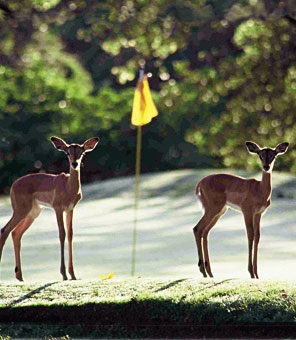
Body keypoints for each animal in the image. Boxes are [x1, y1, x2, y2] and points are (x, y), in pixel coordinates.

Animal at [0, 135, 100, 282]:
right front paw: (64, 274)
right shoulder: (58, 209)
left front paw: (73, 275)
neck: (68, 188)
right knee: (4, 230)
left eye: (82, 153)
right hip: (20, 211)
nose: (74, 164)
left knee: (15, 233)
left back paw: (20, 277)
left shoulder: (70, 209)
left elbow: (70, 234)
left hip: (32, 213)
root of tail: (13, 185)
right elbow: (62, 234)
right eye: (67, 152)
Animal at [193, 141, 288, 278]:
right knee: (197, 229)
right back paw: (203, 271)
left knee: (205, 232)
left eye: (274, 156)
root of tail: (199, 184)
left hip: (219, 212)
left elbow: (257, 236)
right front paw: (251, 272)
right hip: (212, 209)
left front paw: (257, 274)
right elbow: (250, 235)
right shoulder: (247, 211)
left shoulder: (258, 214)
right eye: (260, 155)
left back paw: (210, 273)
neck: (260, 190)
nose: (266, 167)